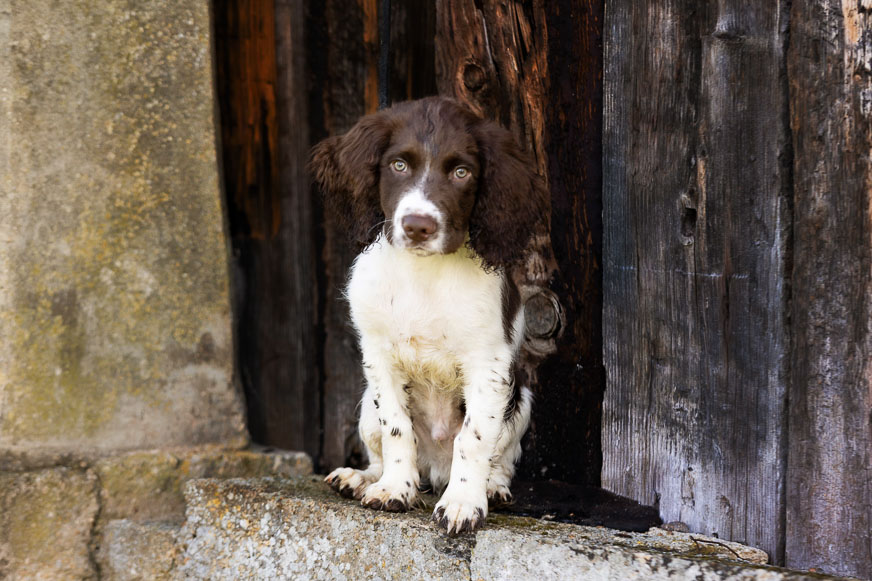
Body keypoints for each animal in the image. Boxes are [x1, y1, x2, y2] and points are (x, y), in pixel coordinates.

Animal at [310, 96, 548, 536]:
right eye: (399, 165)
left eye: (461, 172)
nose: (417, 226)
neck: (424, 274)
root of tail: (435, 469)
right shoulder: (378, 354)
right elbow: (397, 428)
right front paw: (393, 489)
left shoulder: (488, 362)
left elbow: (473, 438)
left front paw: (463, 502)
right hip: (365, 405)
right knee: (379, 446)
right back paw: (362, 478)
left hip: (520, 398)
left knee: (501, 459)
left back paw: (491, 488)